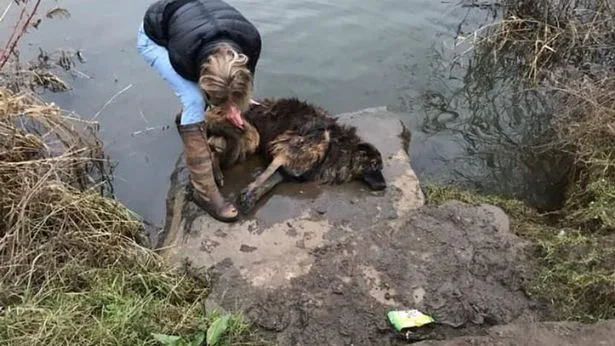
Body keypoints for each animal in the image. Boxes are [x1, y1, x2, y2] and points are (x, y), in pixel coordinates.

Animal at [207, 97, 388, 214]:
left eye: (380, 166)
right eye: (374, 165)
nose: (384, 185)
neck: (337, 147)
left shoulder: (287, 169)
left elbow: (269, 182)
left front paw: (252, 196)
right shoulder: (287, 147)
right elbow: (265, 175)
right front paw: (248, 192)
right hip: (250, 136)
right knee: (211, 148)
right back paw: (216, 174)